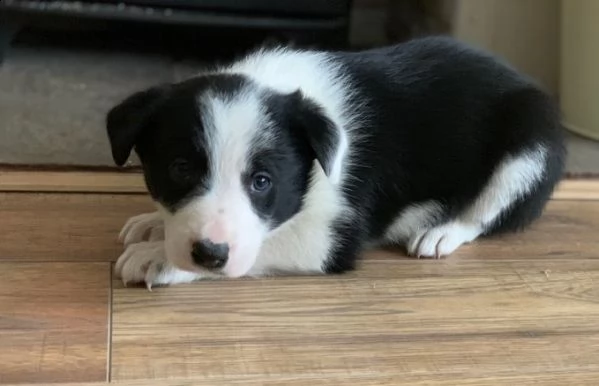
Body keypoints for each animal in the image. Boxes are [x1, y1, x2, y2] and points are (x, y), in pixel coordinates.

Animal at [106, 36, 568, 288]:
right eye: (180, 169)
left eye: (262, 182)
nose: (209, 253)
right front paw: (154, 223)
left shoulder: (331, 237)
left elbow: (262, 243)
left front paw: (157, 257)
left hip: (528, 146)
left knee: (485, 211)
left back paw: (441, 231)